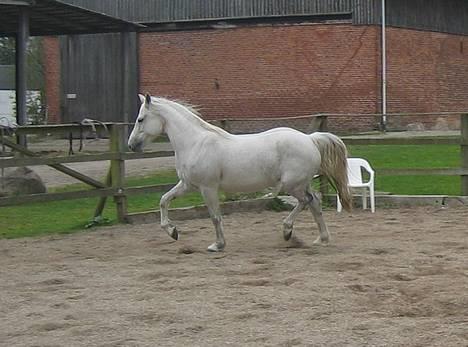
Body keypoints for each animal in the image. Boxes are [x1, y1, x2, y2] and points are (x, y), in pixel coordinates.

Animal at [128, 94, 352, 253]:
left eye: (140, 119)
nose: (131, 145)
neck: (195, 143)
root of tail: (310, 139)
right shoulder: (187, 185)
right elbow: (163, 200)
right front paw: (172, 231)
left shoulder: (208, 188)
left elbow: (215, 217)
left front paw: (217, 245)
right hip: (301, 183)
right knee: (315, 203)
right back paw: (321, 239)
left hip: (292, 185)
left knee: (306, 201)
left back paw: (287, 231)